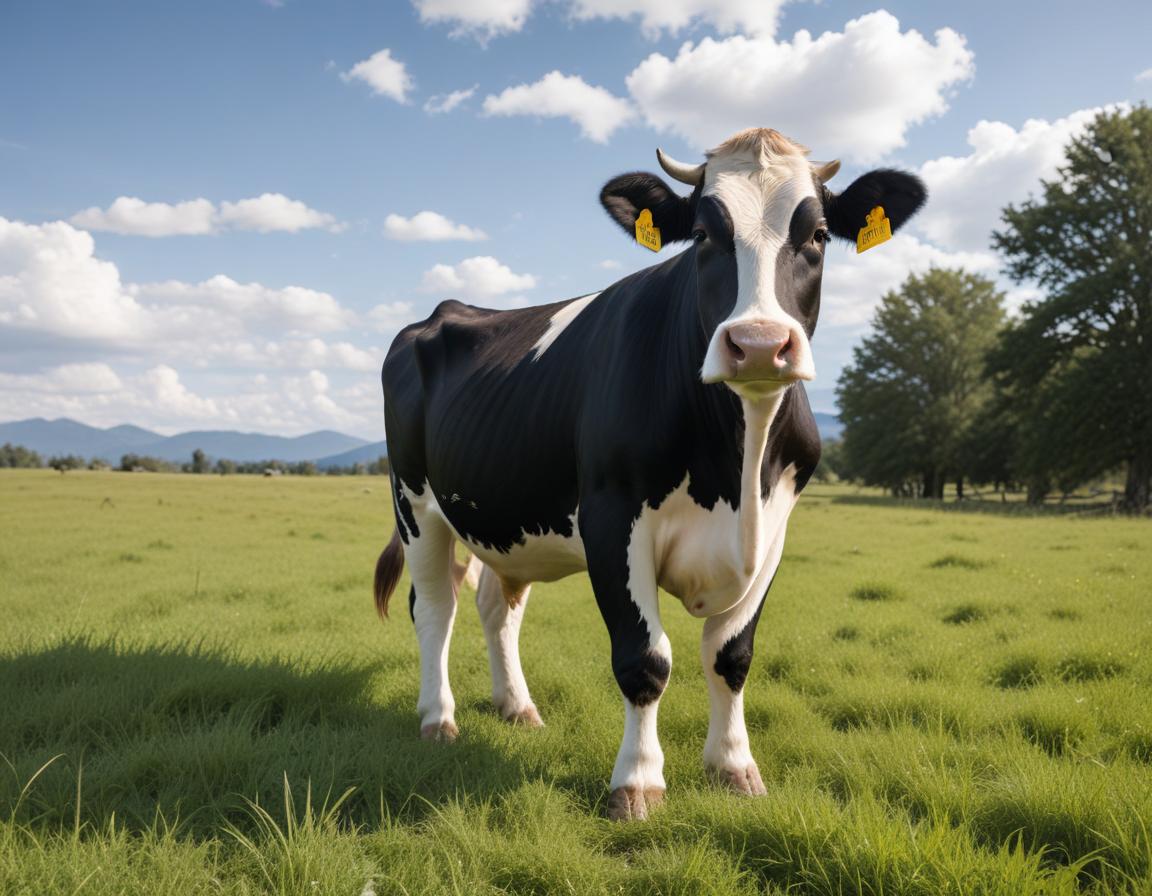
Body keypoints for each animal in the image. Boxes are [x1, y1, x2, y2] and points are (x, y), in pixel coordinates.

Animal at [373, 128, 926, 820]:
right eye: (705, 235)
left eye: (820, 235)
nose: (759, 344)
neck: (737, 469)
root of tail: (447, 310)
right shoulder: (612, 517)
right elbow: (645, 660)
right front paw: (636, 783)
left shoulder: (776, 527)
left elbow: (731, 656)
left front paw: (734, 767)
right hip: (416, 504)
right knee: (434, 608)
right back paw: (437, 719)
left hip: (504, 516)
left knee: (497, 606)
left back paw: (517, 707)